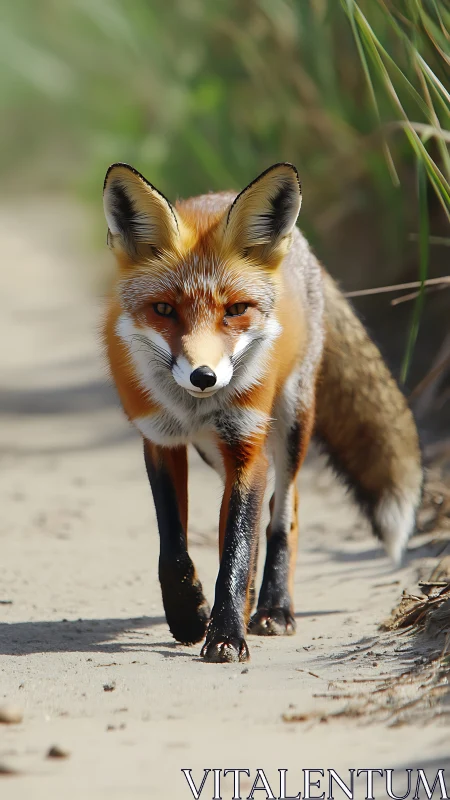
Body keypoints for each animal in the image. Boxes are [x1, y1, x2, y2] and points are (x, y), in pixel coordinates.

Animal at [102, 161, 422, 663]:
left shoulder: (247, 442)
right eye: (163, 309)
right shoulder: (160, 439)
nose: (205, 377)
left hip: (291, 422)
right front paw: (189, 614)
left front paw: (226, 634)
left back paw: (275, 607)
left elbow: (236, 547)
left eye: (235, 309)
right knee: (261, 509)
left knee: (282, 511)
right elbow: (174, 548)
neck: (195, 408)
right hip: (215, 452)